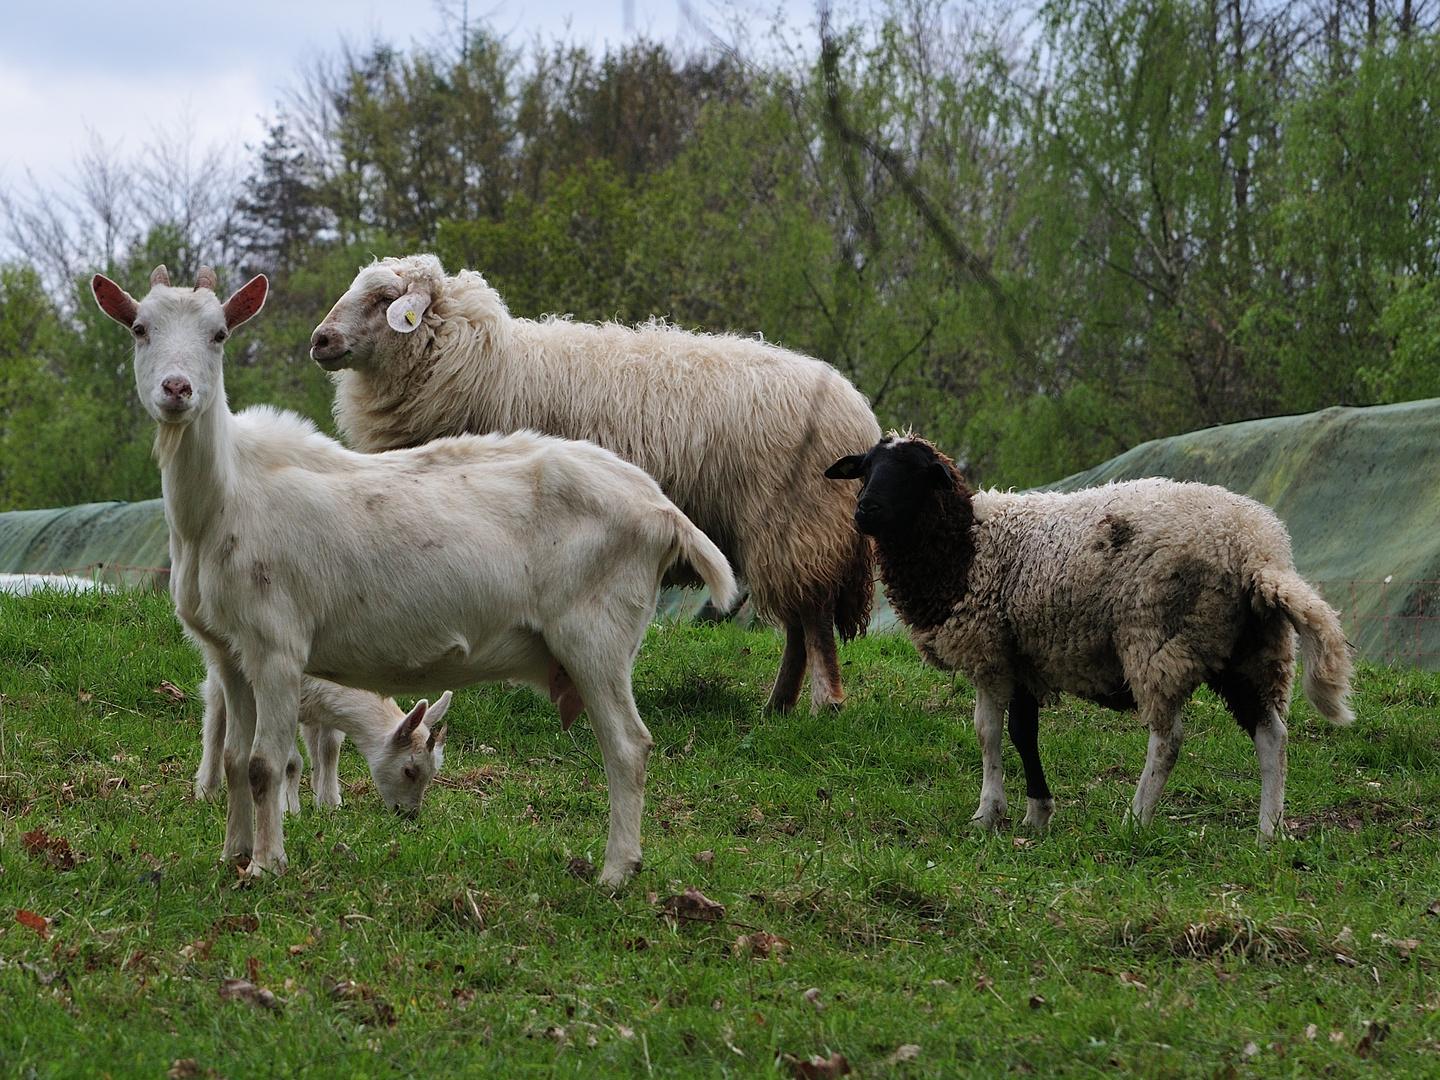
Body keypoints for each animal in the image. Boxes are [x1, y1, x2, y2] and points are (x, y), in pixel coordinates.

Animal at [309, 253, 881, 720]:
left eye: (385, 298)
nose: (319, 340)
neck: (482, 363)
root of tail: (857, 413)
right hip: (783, 530)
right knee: (798, 620)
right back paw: (777, 706)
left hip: (799, 518)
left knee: (812, 618)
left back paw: (824, 703)